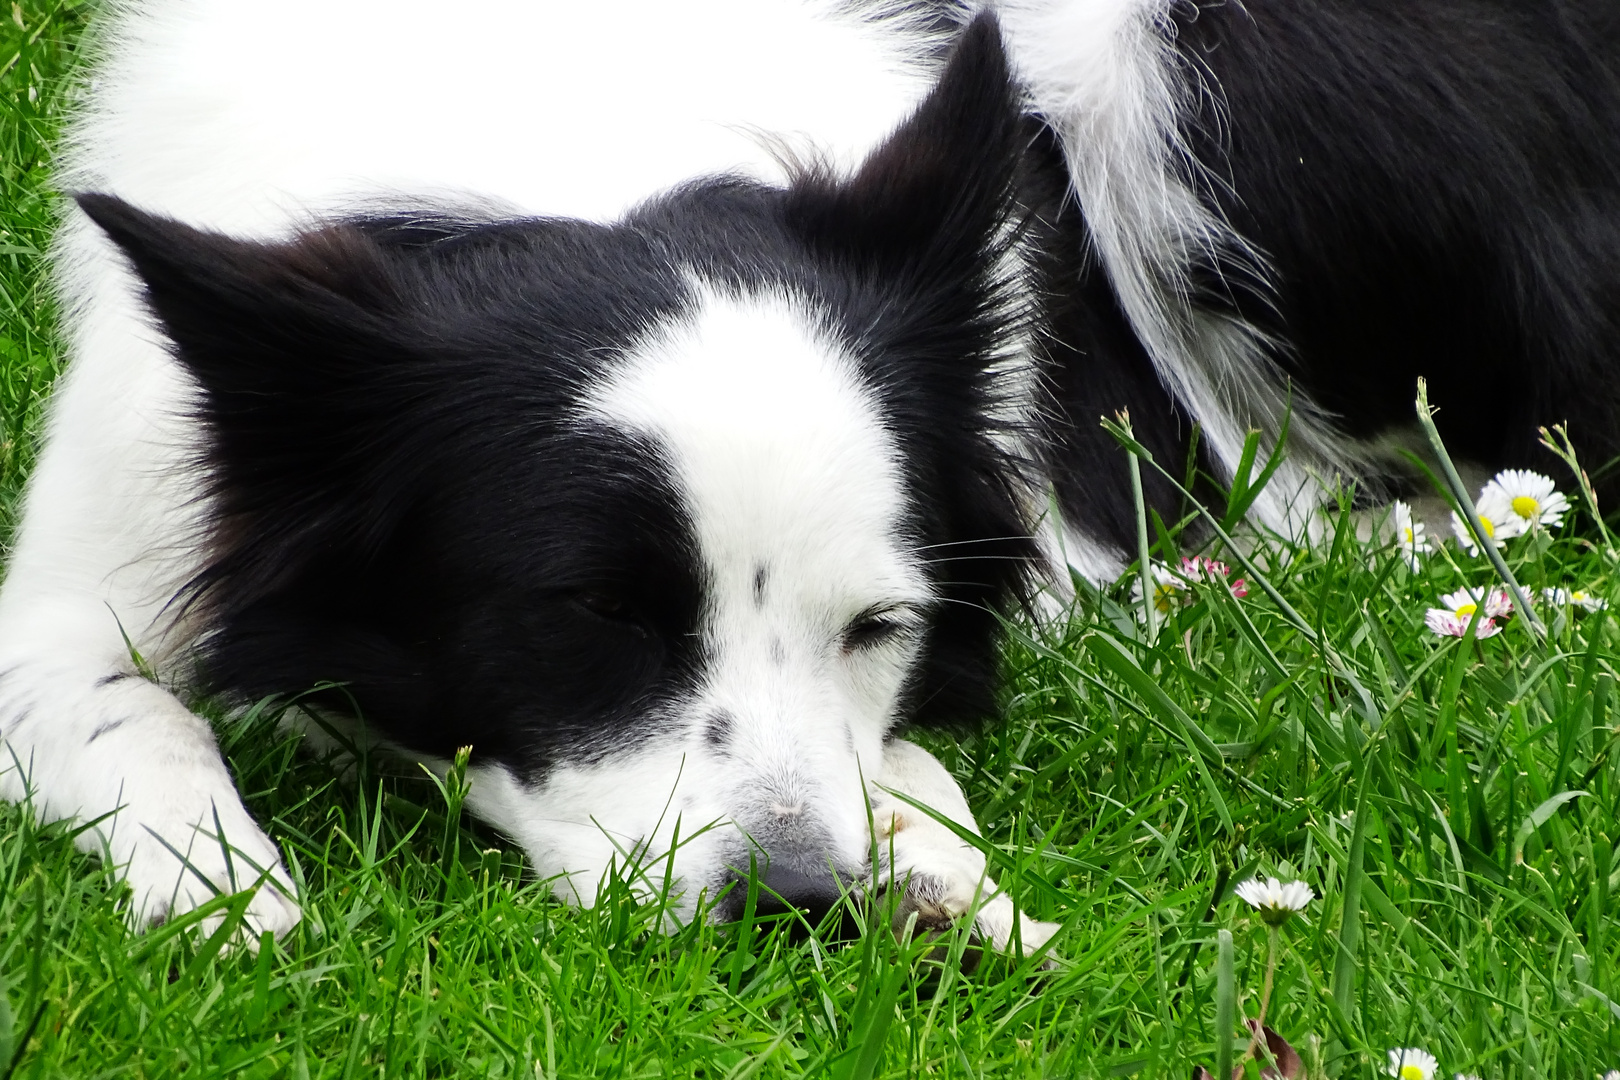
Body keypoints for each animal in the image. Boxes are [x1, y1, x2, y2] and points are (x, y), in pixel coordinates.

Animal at [0, 0, 1613, 945]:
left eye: (878, 626)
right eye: (597, 617)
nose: (798, 907)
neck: (564, 100)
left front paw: (927, 846)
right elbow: (124, 714)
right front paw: (219, 881)